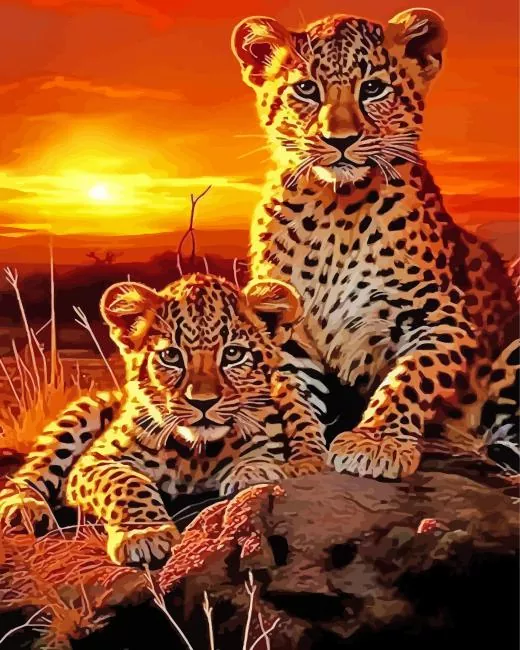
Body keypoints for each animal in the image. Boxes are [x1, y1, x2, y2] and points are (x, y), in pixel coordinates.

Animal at [0, 273, 326, 566]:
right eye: (171, 356)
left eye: (233, 354)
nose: (203, 402)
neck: (197, 455)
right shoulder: (96, 462)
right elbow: (127, 483)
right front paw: (144, 534)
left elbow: (261, 454)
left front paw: (254, 473)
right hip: (84, 412)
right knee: (36, 468)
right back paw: (24, 506)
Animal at [231, 8, 519, 479]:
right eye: (306, 89)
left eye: (373, 88)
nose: (341, 140)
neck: (334, 209)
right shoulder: (287, 330)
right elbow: (293, 400)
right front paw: (301, 457)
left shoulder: (441, 316)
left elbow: (411, 377)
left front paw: (376, 442)